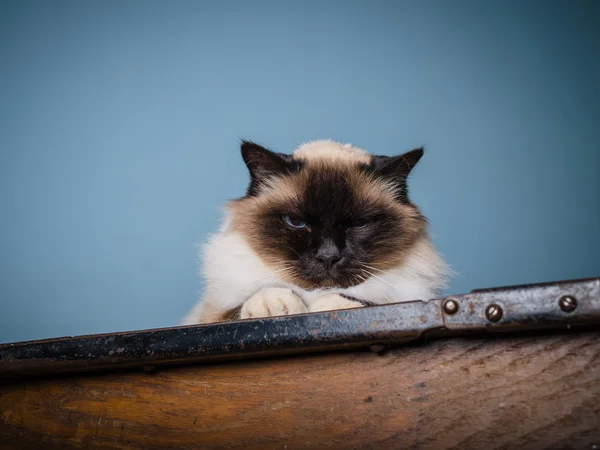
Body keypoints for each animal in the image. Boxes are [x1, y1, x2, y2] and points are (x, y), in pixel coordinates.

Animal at [182, 140, 446, 324]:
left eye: (359, 223)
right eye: (296, 222)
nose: (328, 256)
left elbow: (365, 302)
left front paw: (330, 307)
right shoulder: (212, 317)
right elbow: (243, 305)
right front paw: (275, 305)